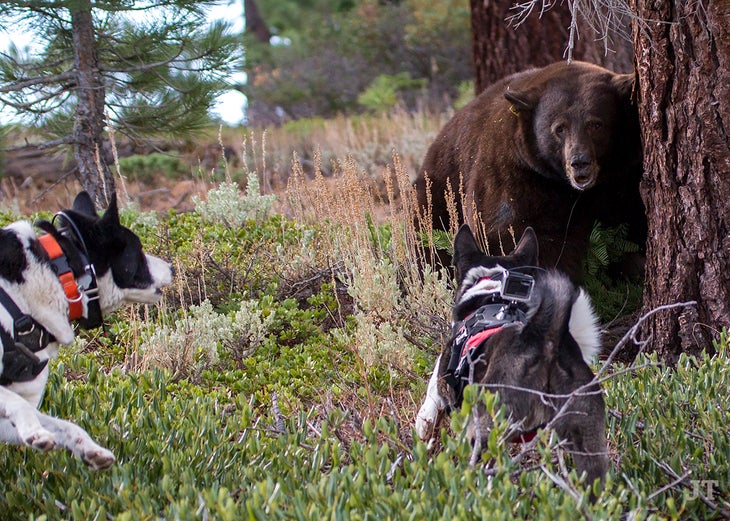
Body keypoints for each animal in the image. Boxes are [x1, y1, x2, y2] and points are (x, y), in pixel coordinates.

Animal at [0, 190, 172, 468]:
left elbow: (68, 426)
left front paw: (90, 450)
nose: (172, 268)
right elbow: (21, 406)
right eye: (139, 250)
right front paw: (35, 432)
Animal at [416, 60, 644, 280]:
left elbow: (634, 222)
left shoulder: (625, 173)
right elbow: (510, 230)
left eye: (596, 124)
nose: (579, 162)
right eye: (559, 128)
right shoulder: (516, 172)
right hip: (439, 193)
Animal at [416, 223, 608, 492]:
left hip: (485, 428)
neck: (495, 291)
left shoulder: (445, 372)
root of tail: (547, 342)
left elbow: (432, 392)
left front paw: (424, 426)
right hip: (587, 438)